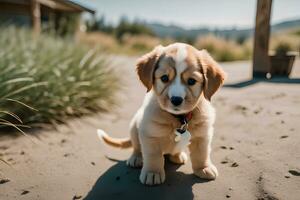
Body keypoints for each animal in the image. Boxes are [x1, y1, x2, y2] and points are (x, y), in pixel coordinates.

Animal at [97, 43, 226, 185]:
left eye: (191, 81)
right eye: (164, 78)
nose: (176, 99)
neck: (180, 119)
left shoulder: (203, 136)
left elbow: (202, 154)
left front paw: (204, 168)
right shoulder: (150, 135)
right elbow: (153, 157)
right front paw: (152, 173)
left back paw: (177, 156)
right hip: (134, 128)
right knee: (137, 147)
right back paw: (136, 158)